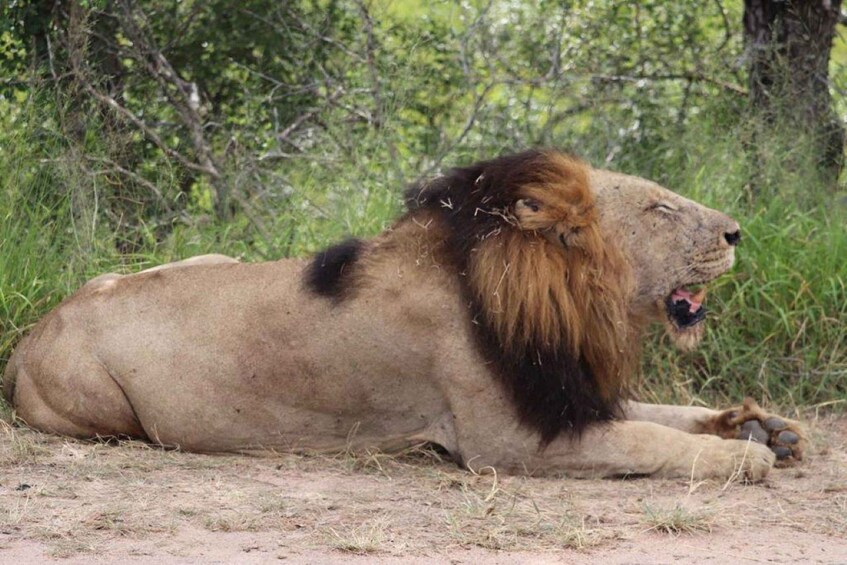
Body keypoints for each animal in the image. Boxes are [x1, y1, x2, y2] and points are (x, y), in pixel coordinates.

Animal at [2, 150, 805, 480]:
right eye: (658, 208)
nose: (737, 233)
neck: (566, 300)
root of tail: (35, 328)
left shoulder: (559, 390)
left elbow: (662, 413)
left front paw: (764, 426)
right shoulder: (508, 441)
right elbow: (647, 439)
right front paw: (744, 457)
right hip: (106, 411)